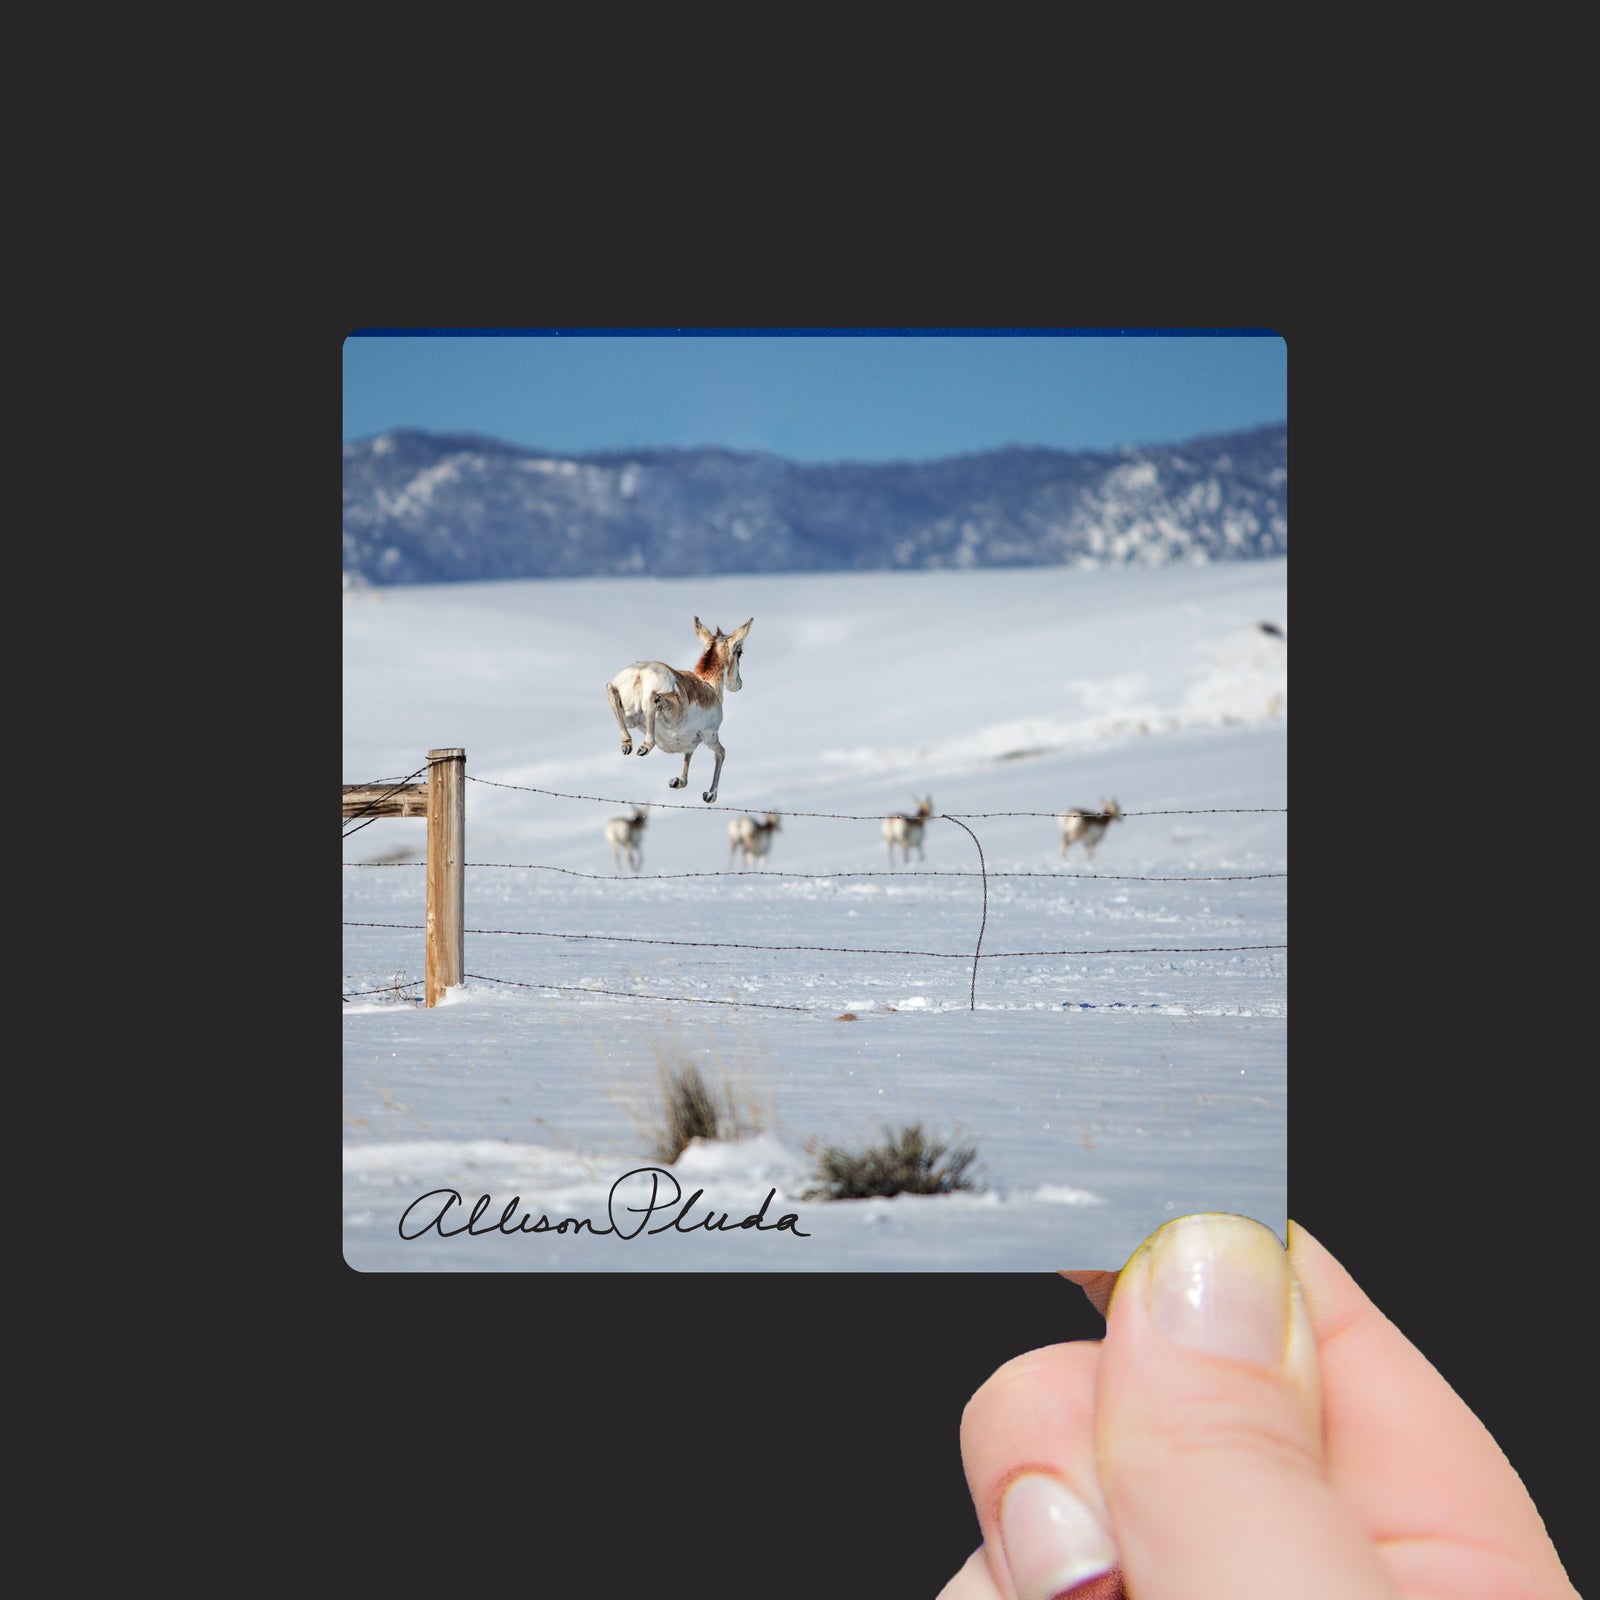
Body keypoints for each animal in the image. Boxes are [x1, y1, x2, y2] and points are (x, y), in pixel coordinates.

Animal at [606, 617, 753, 804]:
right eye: (739, 652)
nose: (738, 684)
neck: (708, 684)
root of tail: (642, 670)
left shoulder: (691, 744)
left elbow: (687, 760)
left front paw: (677, 781)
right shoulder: (710, 736)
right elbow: (721, 753)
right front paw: (710, 795)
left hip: (630, 716)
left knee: (611, 691)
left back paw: (627, 745)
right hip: (669, 711)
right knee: (654, 699)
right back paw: (645, 746)